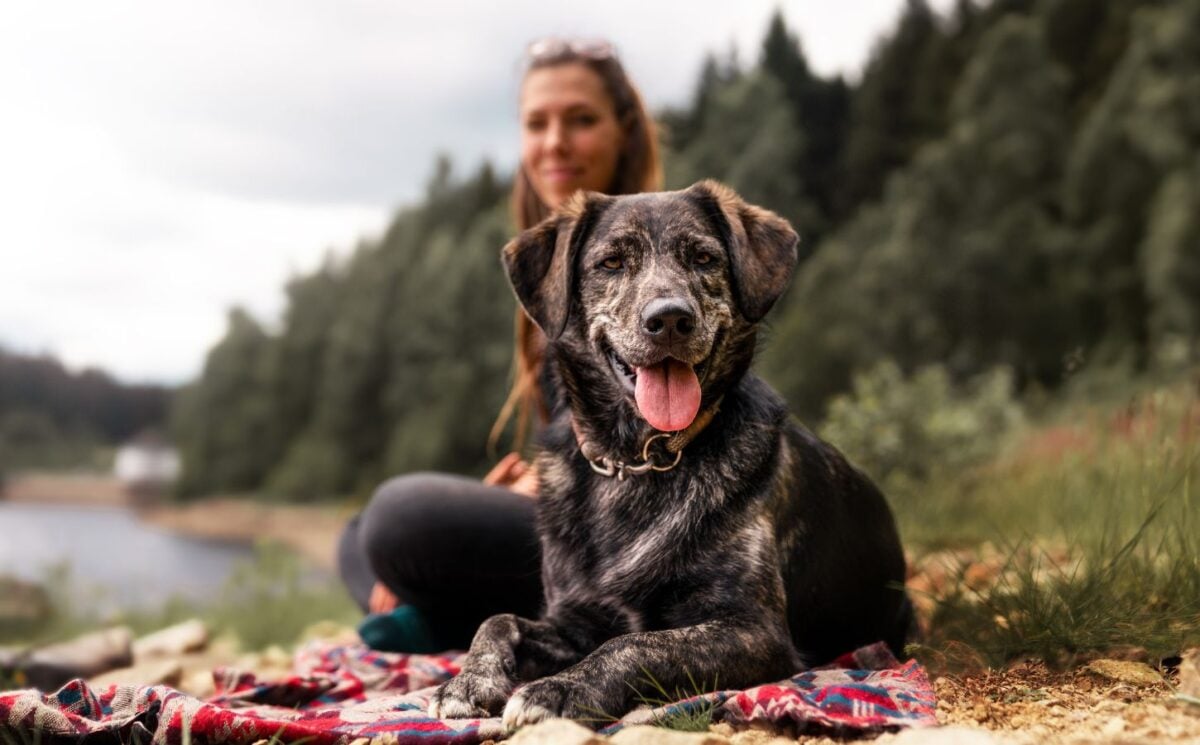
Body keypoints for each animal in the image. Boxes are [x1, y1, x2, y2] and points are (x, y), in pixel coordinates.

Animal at [432, 181, 907, 734]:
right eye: (612, 262)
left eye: (703, 257)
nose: (670, 319)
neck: (635, 461)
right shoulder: (573, 622)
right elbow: (497, 620)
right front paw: (468, 682)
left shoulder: (756, 632)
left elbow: (636, 643)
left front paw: (560, 689)